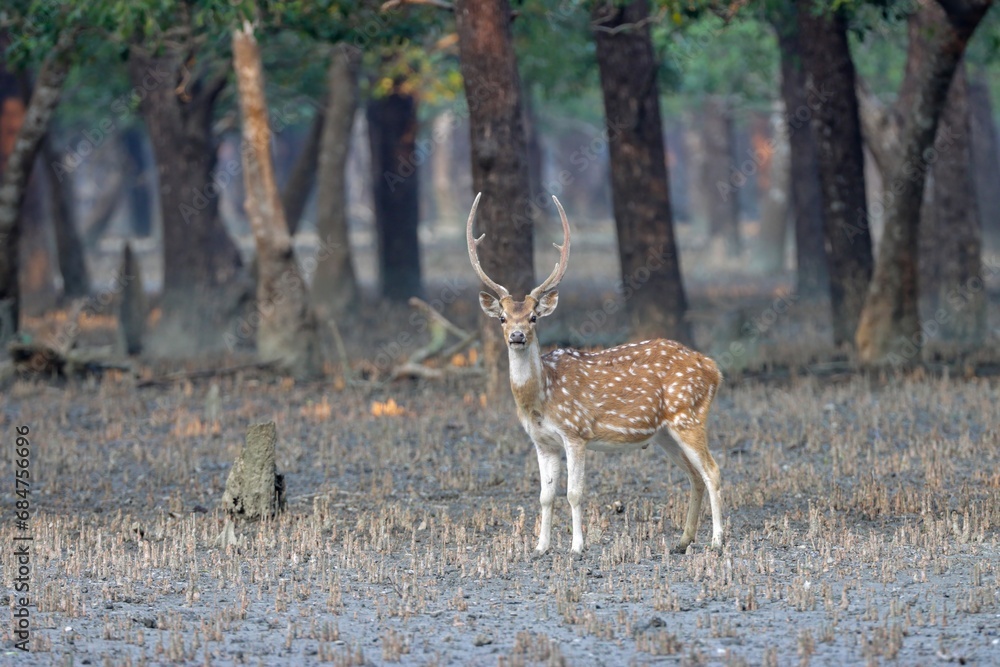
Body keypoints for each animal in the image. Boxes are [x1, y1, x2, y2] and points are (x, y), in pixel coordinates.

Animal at [466, 192, 724, 555]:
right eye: (502, 318)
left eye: (533, 317)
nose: (517, 336)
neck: (541, 397)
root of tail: (713, 368)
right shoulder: (542, 442)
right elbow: (545, 496)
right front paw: (540, 547)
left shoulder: (576, 432)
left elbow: (574, 493)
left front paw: (577, 546)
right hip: (665, 432)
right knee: (694, 474)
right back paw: (683, 540)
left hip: (688, 414)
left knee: (713, 471)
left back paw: (717, 540)